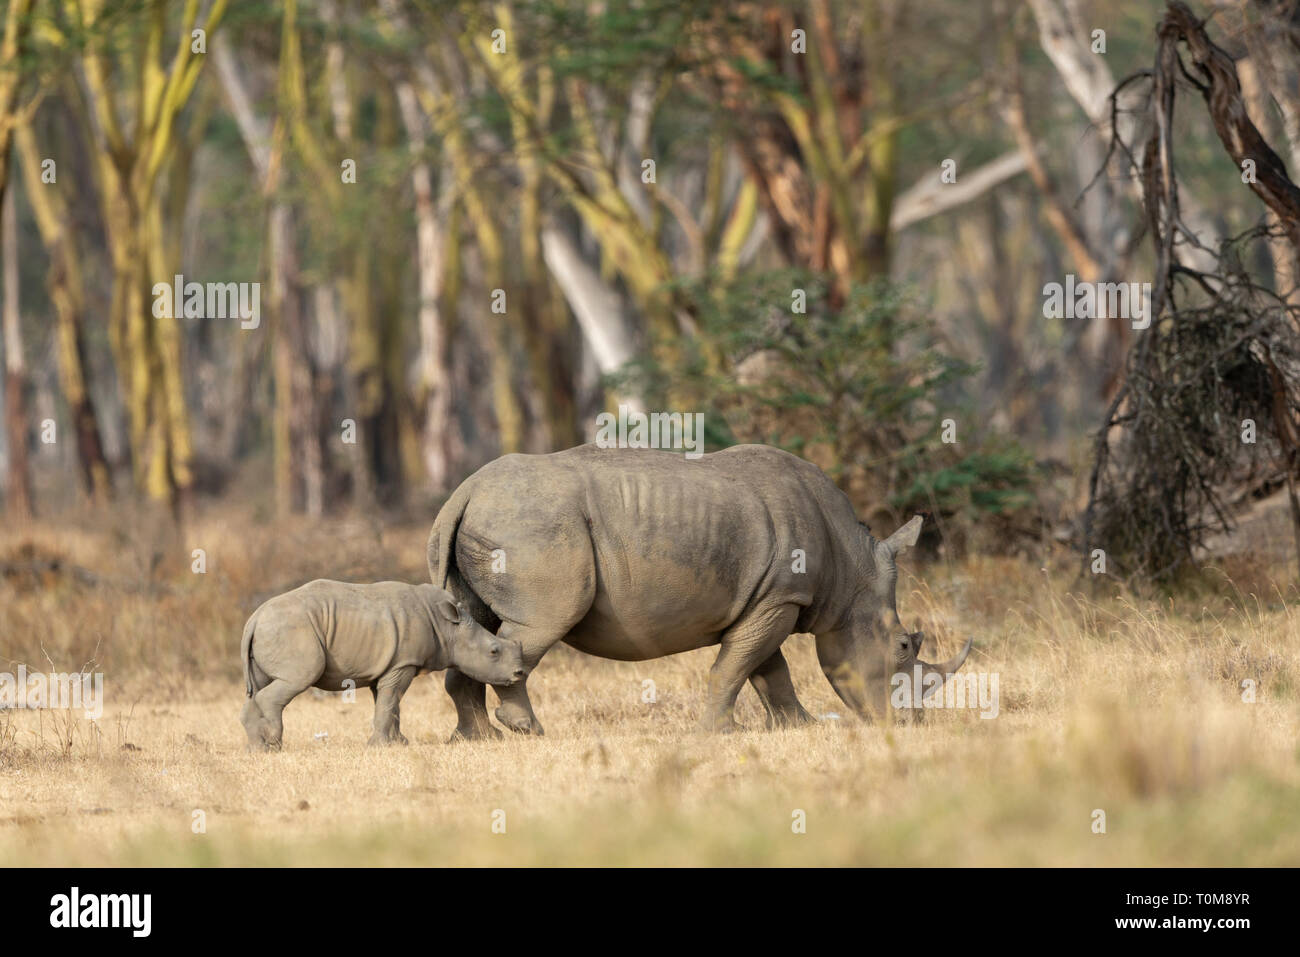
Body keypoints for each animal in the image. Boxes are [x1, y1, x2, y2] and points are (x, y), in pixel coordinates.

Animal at [241, 579, 525, 748]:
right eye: (494, 651)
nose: (519, 673)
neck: (448, 627)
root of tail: (254, 618)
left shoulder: (392, 664)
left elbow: (389, 704)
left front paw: (398, 743)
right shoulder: (403, 664)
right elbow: (390, 701)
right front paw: (379, 746)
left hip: (271, 630)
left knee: (258, 687)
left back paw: (259, 749)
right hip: (291, 630)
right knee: (297, 678)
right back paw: (273, 743)